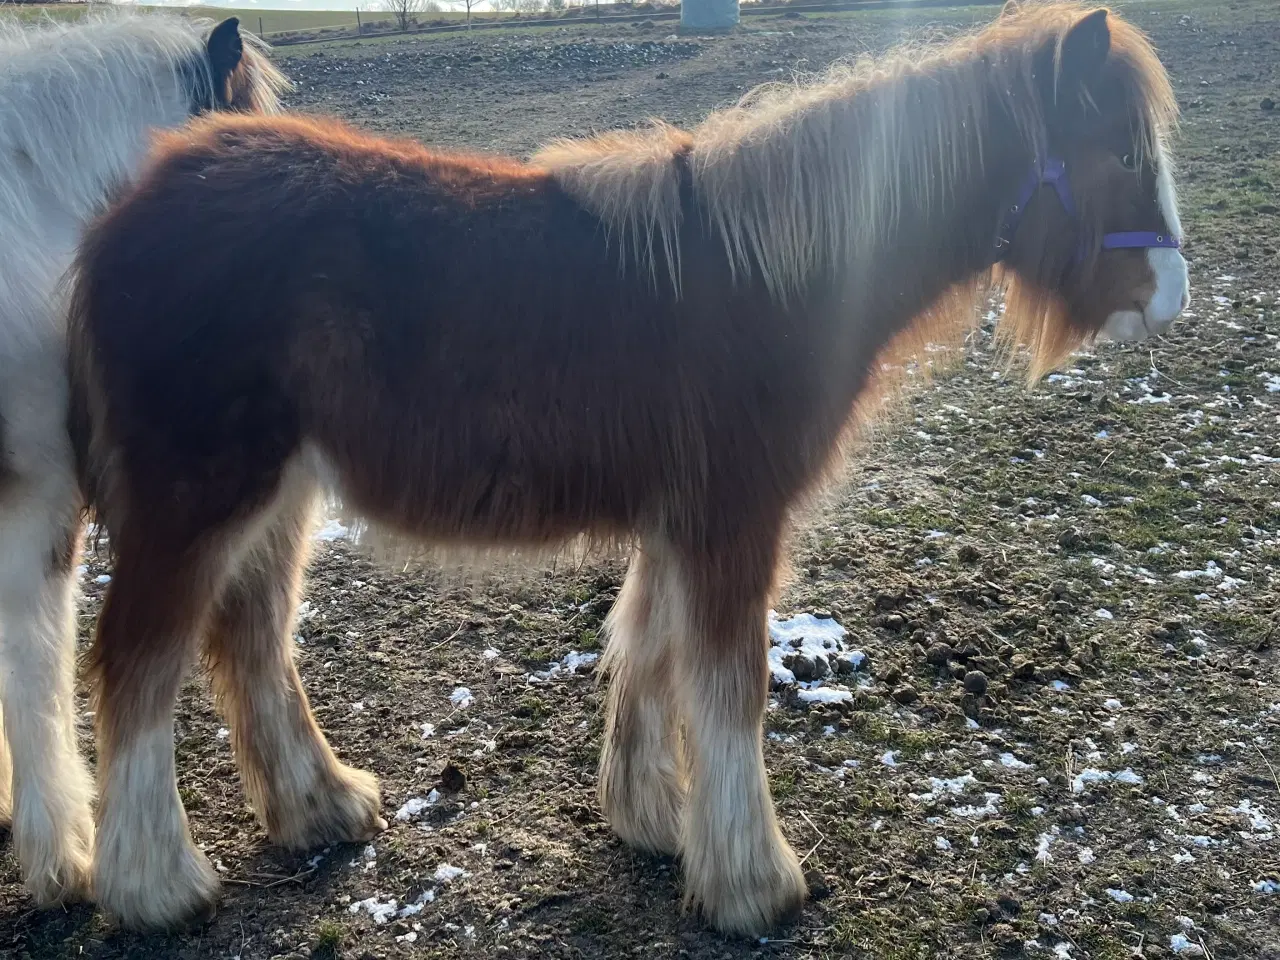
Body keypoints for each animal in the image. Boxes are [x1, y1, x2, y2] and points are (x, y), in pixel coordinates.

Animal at [67, 1, 1187, 942]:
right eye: (1120, 153)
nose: (1172, 297)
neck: (773, 275)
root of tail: (128, 210)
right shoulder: (733, 520)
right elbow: (729, 687)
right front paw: (754, 885)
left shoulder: (678, 518)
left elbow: (645, 648)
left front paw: (653, 818)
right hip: (196, 501)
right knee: (139, 664)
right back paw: (157, 885)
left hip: (277, 498)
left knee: (251, 641)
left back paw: (322, 807)